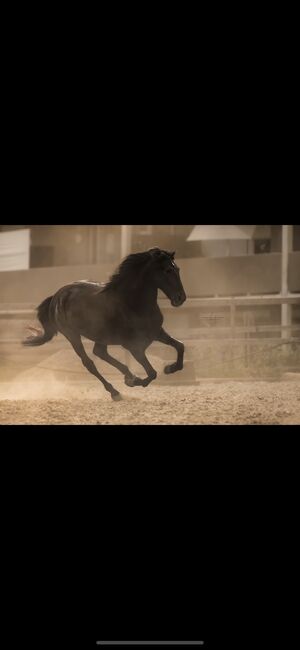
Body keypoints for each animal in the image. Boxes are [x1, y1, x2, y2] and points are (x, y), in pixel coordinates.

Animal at [23, 248, 186, 400]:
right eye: (168, 270)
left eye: (177, 269)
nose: (181, 298)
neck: (132, 303)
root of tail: (57, 296)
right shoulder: (134, 347)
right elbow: (152, 373)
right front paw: (134, 382)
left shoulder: (157, 333)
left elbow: (180, 346)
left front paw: (170, 368)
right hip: (72, 335)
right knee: (89, 362)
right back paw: (115, 392)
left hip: (101, 336)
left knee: (100, 352)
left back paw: (128, 376)